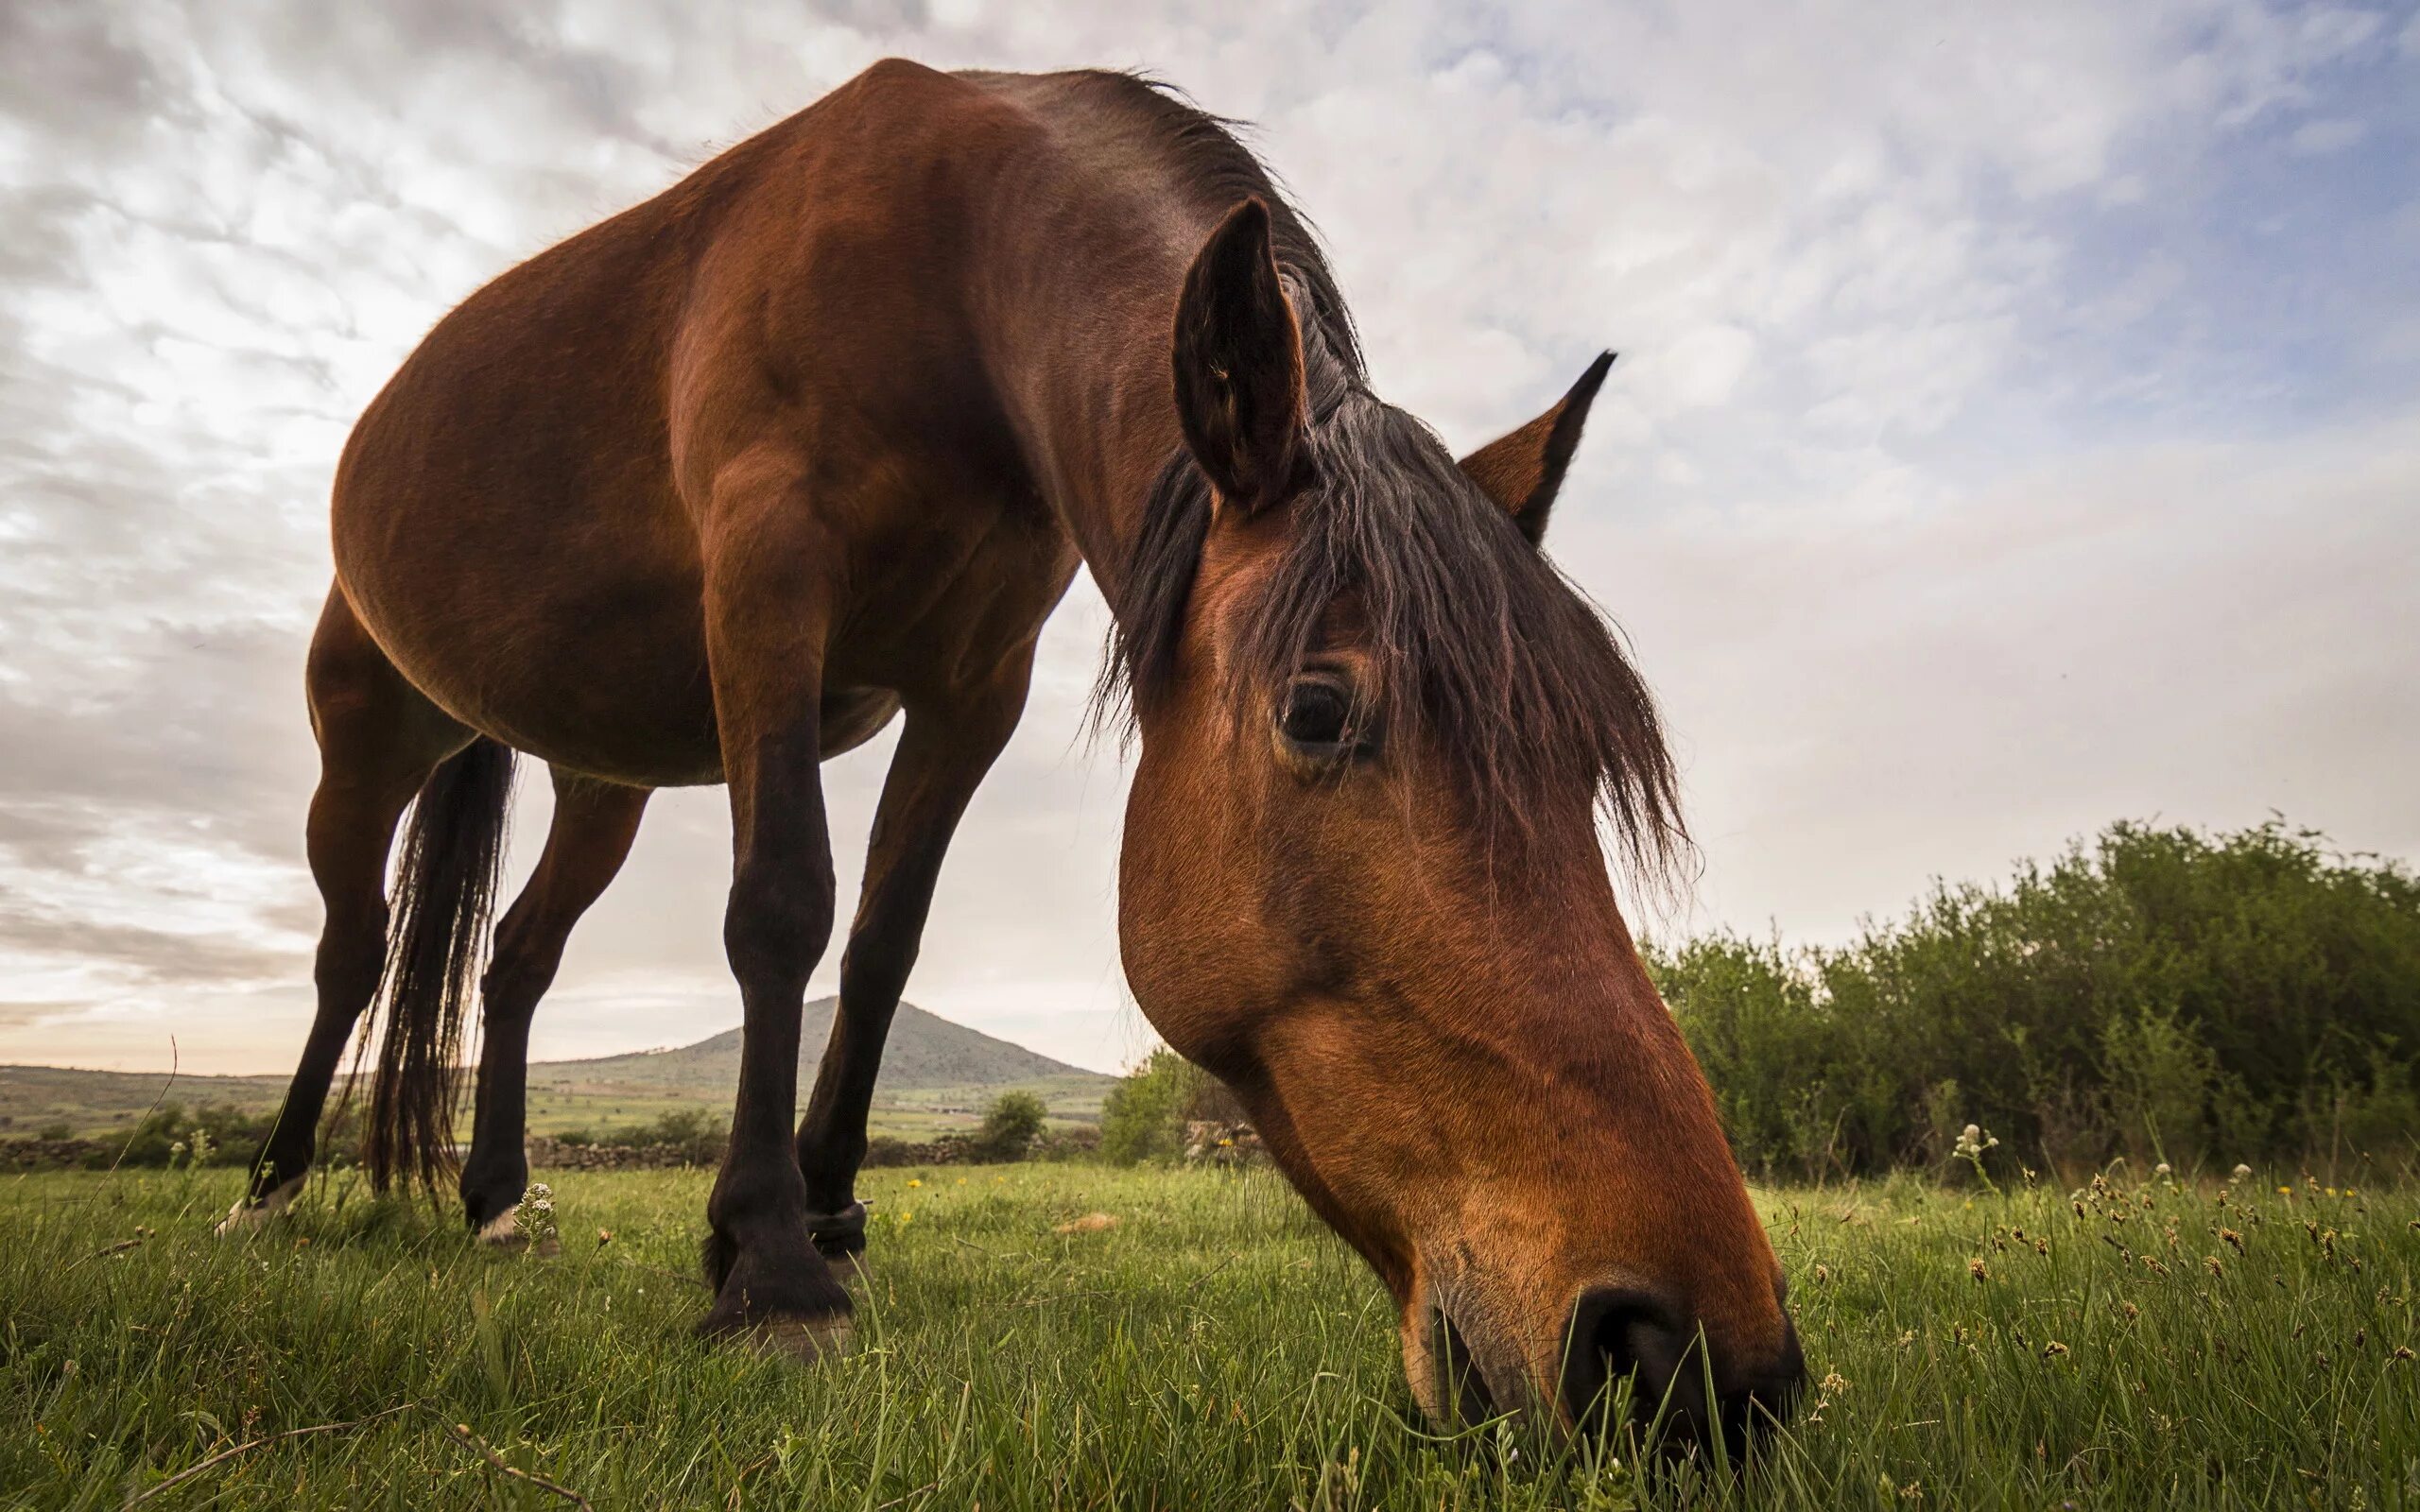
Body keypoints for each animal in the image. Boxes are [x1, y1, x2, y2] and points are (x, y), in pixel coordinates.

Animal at [222, 59, 1800, 1441]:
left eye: (1587, 766)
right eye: (1317, 711)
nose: (1697, 1364)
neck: (947, 274)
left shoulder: (975, 683)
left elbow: (885, 940)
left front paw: (824, 1215)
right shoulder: (768, 588)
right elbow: (783, 904)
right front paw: (770, 1267)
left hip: (601, 780)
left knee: (517, 960)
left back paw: (495, 1202)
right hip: (363, 745)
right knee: (352, 953)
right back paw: (272, 1192)